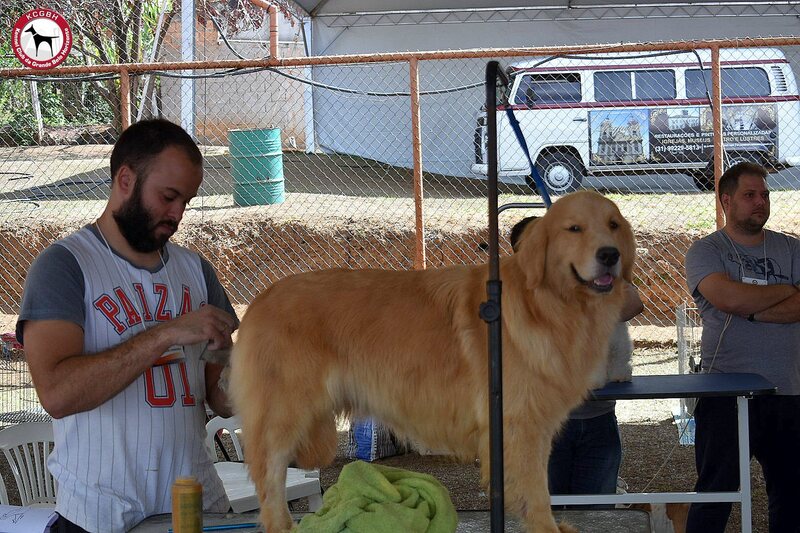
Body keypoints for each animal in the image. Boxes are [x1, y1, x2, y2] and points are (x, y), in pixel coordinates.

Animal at [230, 190, 636, 533]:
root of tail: (262, 297)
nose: (609, 255)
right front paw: (545, 528)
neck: (547, 304)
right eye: (574, 228)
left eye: (613, 225)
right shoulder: (518, 426)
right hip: (284, 413)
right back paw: (281, 525)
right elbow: (536, 492)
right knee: (270, 477)